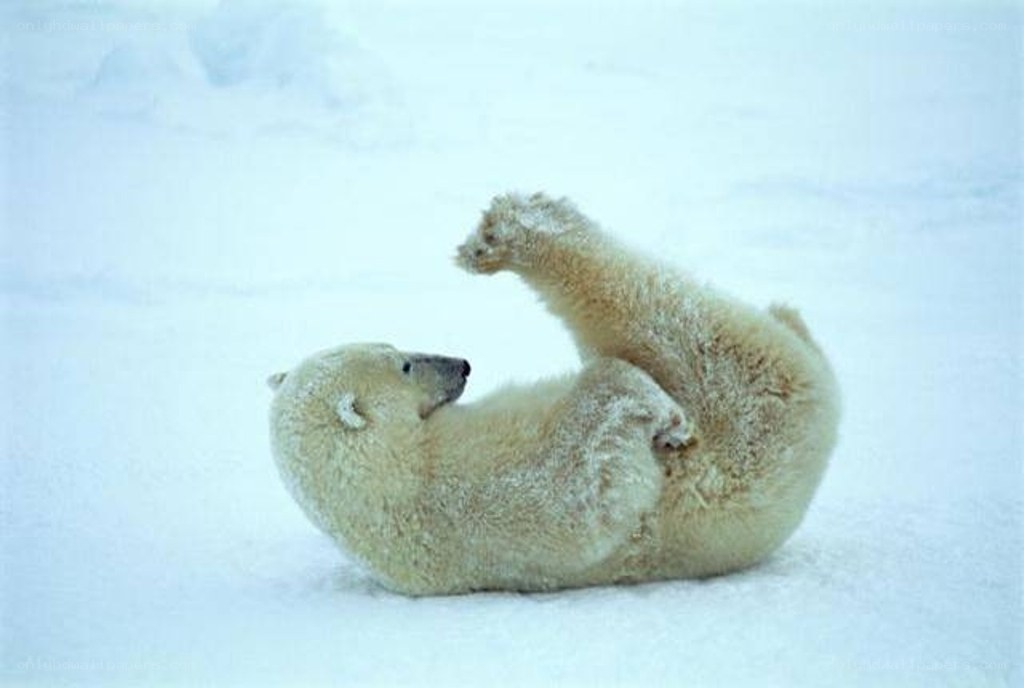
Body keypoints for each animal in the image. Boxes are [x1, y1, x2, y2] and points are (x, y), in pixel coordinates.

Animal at [267, 192, 841, 595]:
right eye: (404, 365)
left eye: (393, 345)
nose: (463, 365)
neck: (385, 480)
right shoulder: (473, 495)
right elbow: (582, 468)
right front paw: (660, 413)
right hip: (749, 403)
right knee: (658, 313)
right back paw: (505, 233)